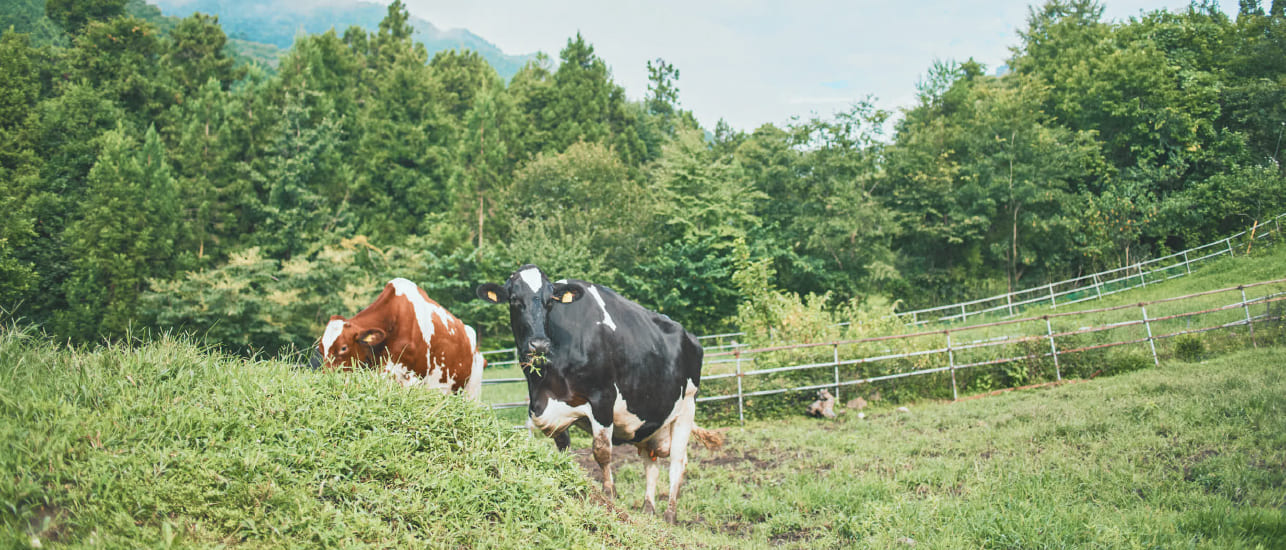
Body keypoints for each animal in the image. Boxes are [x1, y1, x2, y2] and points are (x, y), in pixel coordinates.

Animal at [480, 264, 725, 521]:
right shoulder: (553, 408)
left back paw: (669, 513)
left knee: (678, 459)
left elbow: (602, 452)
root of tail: (691, 337)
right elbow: (564, 449)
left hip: (687, 405)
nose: (539, 344)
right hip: (651, 420)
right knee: (650, 461)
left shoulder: (603, 399)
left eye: (550, 302)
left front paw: (609, 496)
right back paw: (648, 509)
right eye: (514, 300)